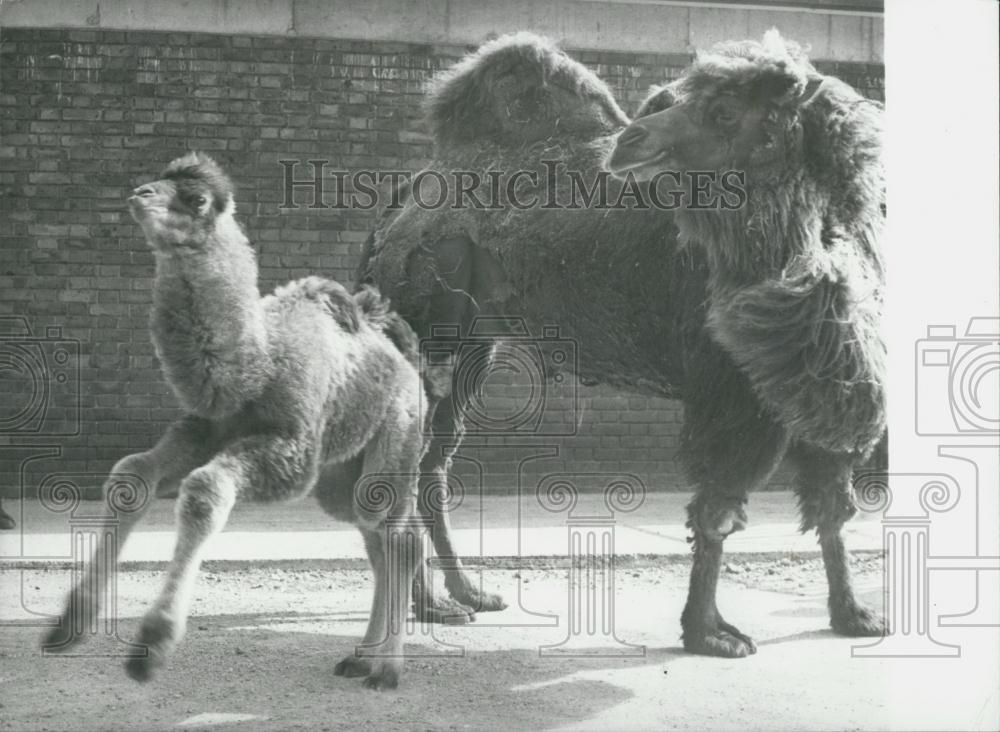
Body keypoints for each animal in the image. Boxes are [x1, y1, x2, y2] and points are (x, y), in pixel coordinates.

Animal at [45, 152, 426, 688]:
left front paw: (153, 643)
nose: (139, 194)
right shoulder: (202, 428)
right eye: (159, 179)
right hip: (339, 475)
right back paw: (359, 658)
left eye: (196, 198)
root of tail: (407, 360)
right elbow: (130, 476)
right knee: (373, 538)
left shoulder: (291, 451)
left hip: (397, 438)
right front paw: (69, 622)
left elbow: (205, 491)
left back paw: (387, 670)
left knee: (400, 535)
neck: (257, 364)